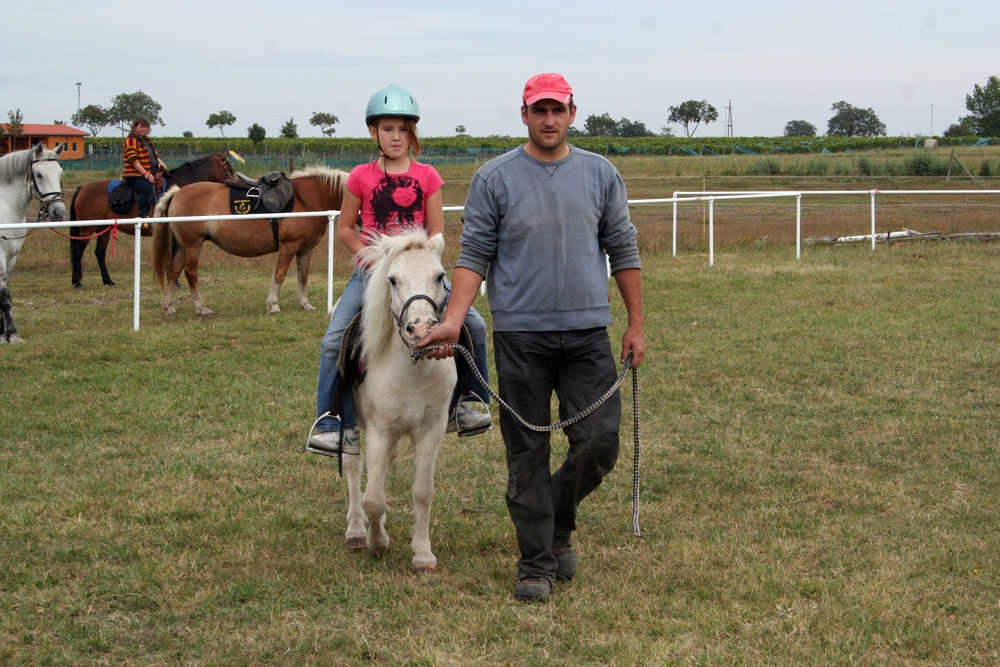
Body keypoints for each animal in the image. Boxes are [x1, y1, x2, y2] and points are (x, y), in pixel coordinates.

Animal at [0, 146, 66, 344]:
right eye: (39, 174)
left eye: (60, 173)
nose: (59, 211)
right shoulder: (0, 257)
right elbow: (4, 298)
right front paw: (13, 335)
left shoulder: (11, 258)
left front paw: (3, 335)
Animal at [69, 153, 235, 288]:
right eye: (228, 169)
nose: (235, 184)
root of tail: (82, 188)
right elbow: (174, 255)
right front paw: (176, 282)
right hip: (87, 229)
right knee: (77, 251)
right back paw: (77, 282)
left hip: (104, 229)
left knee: (100, 252)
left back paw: (108, 281)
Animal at [150, 164, 350, 316]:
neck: (310, 197)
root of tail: (177, 192)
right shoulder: (288, 246)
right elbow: (279, 275)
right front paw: (273, 305)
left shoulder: (305, 249)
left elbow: (303, 276)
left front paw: (304, 304)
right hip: (193, 245)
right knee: (191, 274)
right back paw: (202, 308)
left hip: (184, 246)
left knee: (173, 271)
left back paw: (170, 306)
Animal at [340, 231, 458, 576]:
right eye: (392, 280)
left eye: (440, 276)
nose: (421, 329)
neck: (412, 367)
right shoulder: (380, 430)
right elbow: (373, 498)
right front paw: (378, 544)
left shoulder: (431, 430)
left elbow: (422, 491)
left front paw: (423, 554)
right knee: (354, 468)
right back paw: (356, 530)